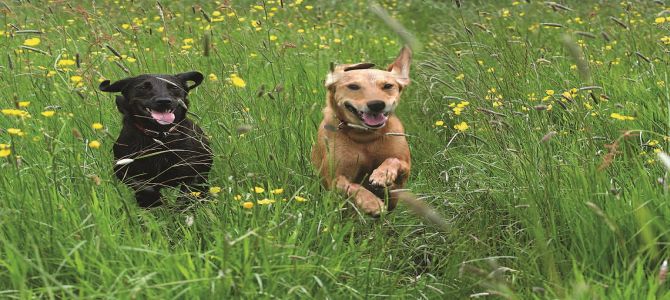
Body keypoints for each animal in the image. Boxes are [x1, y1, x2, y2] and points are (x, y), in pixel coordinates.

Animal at [100, 72, 213, 209]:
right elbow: (145, 188)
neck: (159, 137)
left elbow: (186, 196)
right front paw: (156, 202)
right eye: (143, 87)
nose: (164, 101)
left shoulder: (195, 171)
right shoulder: (124, 169)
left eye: (174, 87)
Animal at [312, 46, 412, 216]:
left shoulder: (405, 170)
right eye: (353, 86)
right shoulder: (334, 180)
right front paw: (371, 202)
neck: (365, 137)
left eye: (387, 86)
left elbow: (394, 160)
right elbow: (351, 185)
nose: (376, 104)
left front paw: (382, 174)